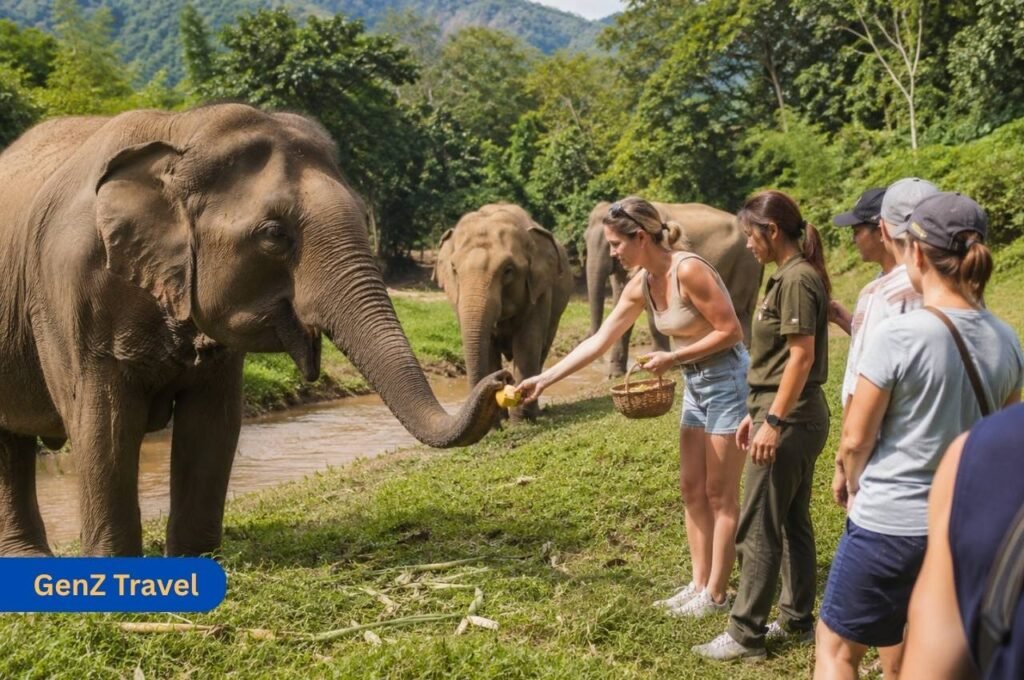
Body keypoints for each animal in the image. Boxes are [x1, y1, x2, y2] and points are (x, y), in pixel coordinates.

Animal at [0, 103, 507, 557]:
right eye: (274, 234)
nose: (501, 380)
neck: (180, 129)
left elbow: (214, 422)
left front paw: (196, 559)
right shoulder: (70, 293)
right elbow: (103, 423)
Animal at [434, 204, 573, 420]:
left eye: (508, 270)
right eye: (454, 269)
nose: (501, 380)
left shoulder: (540, 293)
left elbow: (527, 344)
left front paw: (521, 421)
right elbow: (488, 349)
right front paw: (497, 420)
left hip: (556, 314)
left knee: (542, 349)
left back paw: (534, 413)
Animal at [585, 201, 763, 376]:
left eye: (611, 243)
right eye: (585, 238)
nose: (599, 364)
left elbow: (651, 318)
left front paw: (661, 363)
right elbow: (621, 311)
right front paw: (615, 375)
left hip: (746, 261)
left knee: (740, 309)